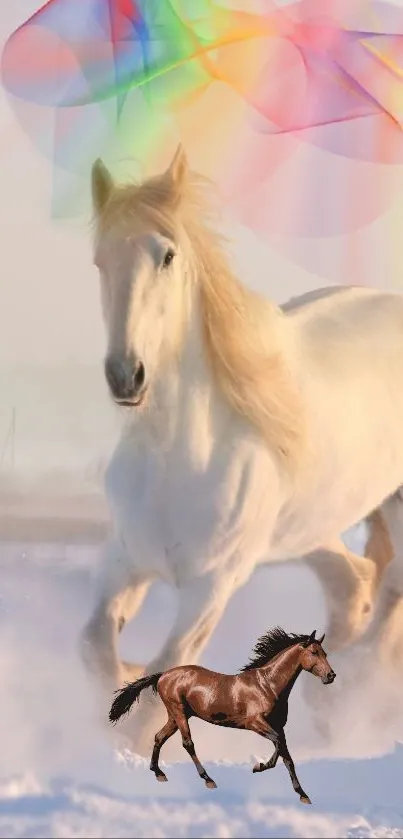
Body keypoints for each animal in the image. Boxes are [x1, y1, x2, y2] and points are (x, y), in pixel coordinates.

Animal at [80, 146, 403, 748]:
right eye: (99, 260)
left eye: (167, 255)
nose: (126, 375)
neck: (176, 459)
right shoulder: (125, 560)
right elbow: (95, 647)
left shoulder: (210, 588)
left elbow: (164, 672)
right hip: (311, 525)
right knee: (355, 586)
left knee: (385, 595)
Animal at [109, 628, 336, 804]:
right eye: (314, 652)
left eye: (325, 653)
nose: (331, 675)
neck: (268, 685)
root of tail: (163, 675)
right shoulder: (255, 723)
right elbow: (279, 747)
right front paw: (258, 767)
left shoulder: (279, 726)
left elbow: (287, 756)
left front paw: (303, 795)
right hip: (179, 713)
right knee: (187, 743)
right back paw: (208, 779)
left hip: (175, 716)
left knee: (159, 737)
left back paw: (159, 773)